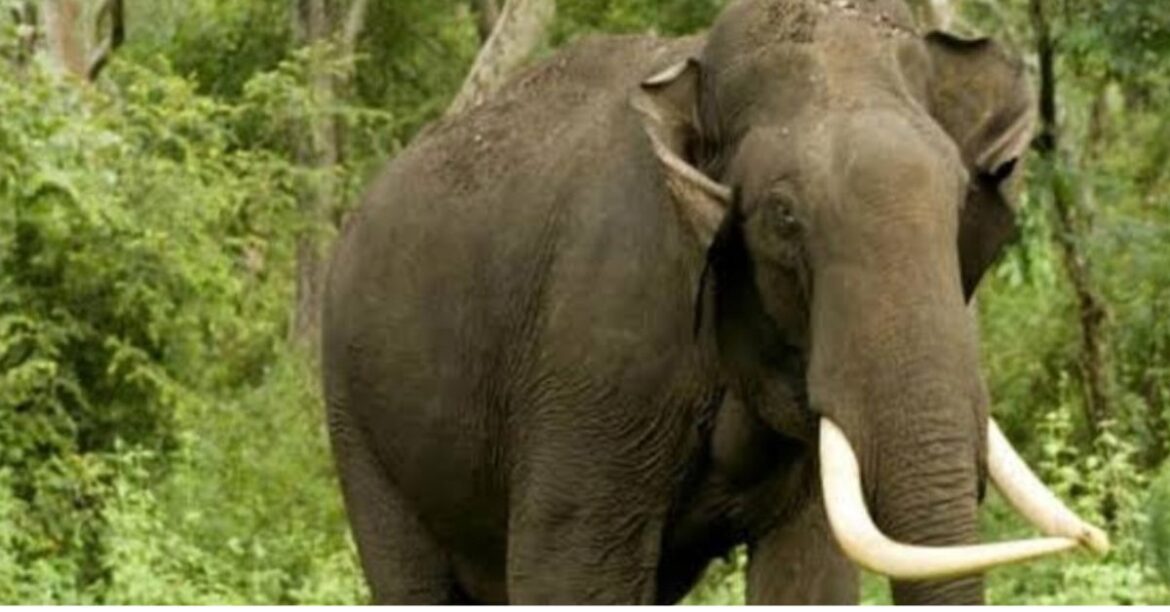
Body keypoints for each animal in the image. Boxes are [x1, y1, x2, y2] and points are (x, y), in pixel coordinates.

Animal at [321, 0, 1108, 604]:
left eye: (959, 198)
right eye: (784, 218)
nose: (1096, 538)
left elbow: (808, 571)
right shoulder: (594, 347)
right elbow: (570, 570)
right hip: (356, 416)